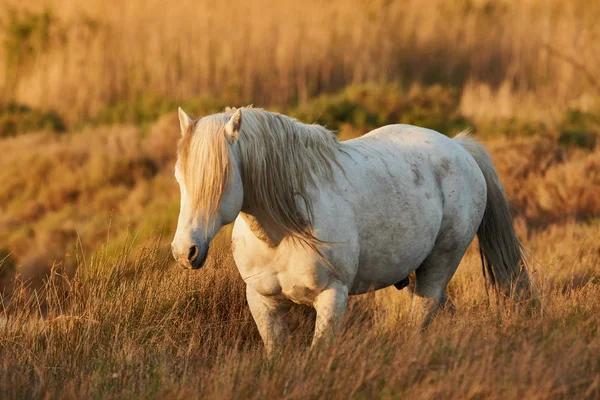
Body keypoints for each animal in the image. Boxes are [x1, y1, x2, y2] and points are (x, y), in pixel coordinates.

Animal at [171, 106, 532, 354]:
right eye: (179, 177)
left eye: (220, 178)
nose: (185, 251)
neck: (282, 232)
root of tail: (459, 148)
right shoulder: (263, 302)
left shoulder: (332, 298)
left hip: (439, 265)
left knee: (421, 314)